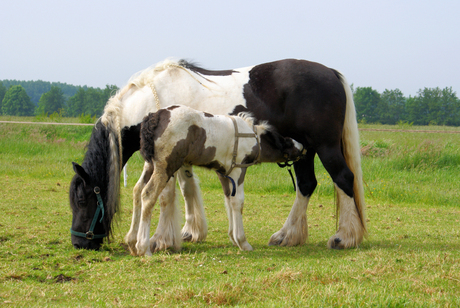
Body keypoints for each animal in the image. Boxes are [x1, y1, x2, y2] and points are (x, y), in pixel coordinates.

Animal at [127, 104, 304, 256]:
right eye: (285, 141)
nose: (303, 147)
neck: (250, 136)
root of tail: (155, 116)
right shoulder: (238, 170)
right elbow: (238, 202)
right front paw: (243, 242)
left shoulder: (224, 173)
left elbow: (229, 199)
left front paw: (233, 238)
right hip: (165, 167)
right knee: (148, 194)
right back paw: (143, 247)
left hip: (150, 165)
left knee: (137, 190)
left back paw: (132, 242)